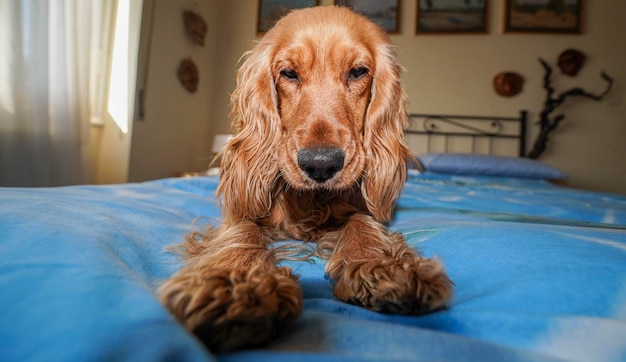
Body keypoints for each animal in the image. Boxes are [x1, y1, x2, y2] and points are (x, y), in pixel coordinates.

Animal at [160, 5, 454, 350]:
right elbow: (243, 233)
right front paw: (238, 286)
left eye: (358, 72)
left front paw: (380, 265)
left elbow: (363, 222)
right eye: (289, 73)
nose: (321, 164)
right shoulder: (237, 216)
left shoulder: (364, 208)